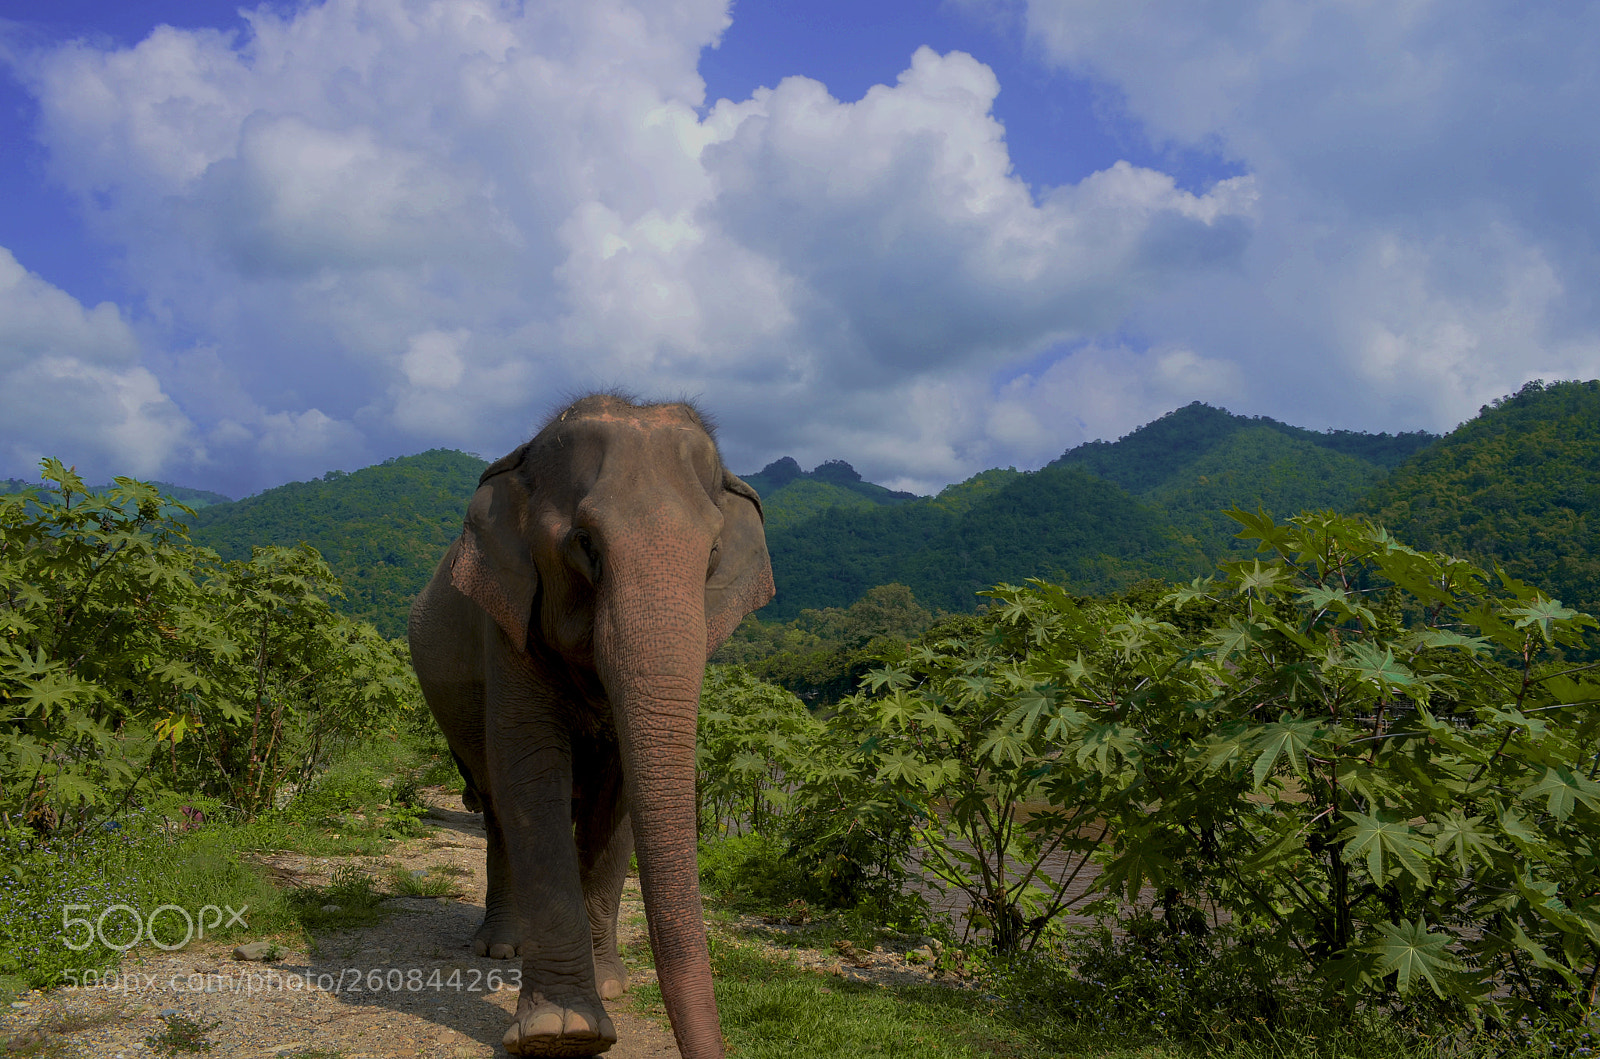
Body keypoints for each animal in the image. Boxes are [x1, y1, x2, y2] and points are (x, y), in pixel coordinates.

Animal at [408, 394, 774, 1058]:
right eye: (586, 544)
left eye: (711, 554)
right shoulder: (507, 624)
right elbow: (532, 773)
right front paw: (562, 1031)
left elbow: (619, 800)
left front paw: (609, 987)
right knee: (498, 808)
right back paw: (500, 947)